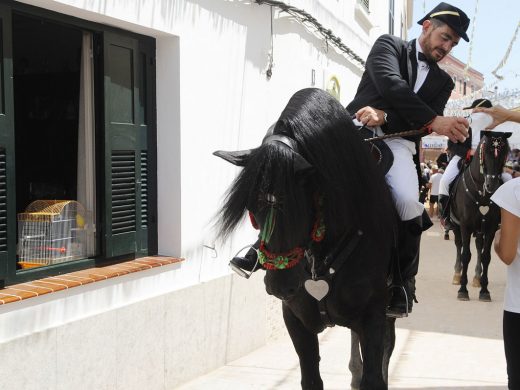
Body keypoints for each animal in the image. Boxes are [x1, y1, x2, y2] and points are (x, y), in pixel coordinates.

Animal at [215, 88, 398, 390]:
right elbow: (311, 377)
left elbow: (375, 375)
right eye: (251, 207)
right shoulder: (295, 318)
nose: (280, 287)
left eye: (297, 205)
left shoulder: (374, 315)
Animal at [448, 131, 510, 302]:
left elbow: (485, 256)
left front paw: (484, 290)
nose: (491, 185)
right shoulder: (465, 225)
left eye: (504, 152)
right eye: (486, 152)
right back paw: (457, 274)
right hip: (456, 226)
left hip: (480, 230)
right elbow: (465, 255)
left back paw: (477, 278)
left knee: (478, 246)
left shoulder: (490, 227)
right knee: (458, 245)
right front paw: (463, 290)